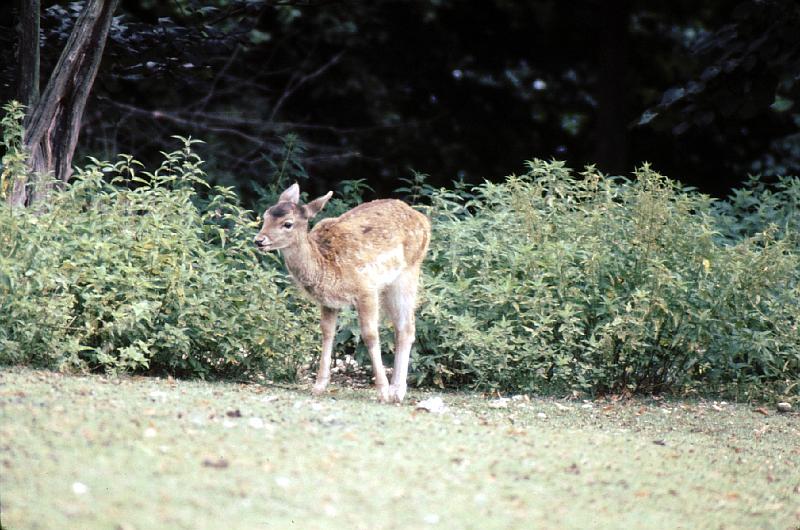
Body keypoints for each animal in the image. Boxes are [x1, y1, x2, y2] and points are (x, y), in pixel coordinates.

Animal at [253, 183, 430, 403]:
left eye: (287, 224)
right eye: (266, 215)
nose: (259, 240)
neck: (325, 268)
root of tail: (424, 220)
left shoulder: (366, 290)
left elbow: (370, 335)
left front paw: (381, 391)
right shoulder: (328, 302)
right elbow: (327, 333)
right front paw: (319, 386)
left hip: (407, 273)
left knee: (406, 327)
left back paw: (396, 391)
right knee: (402, 328)